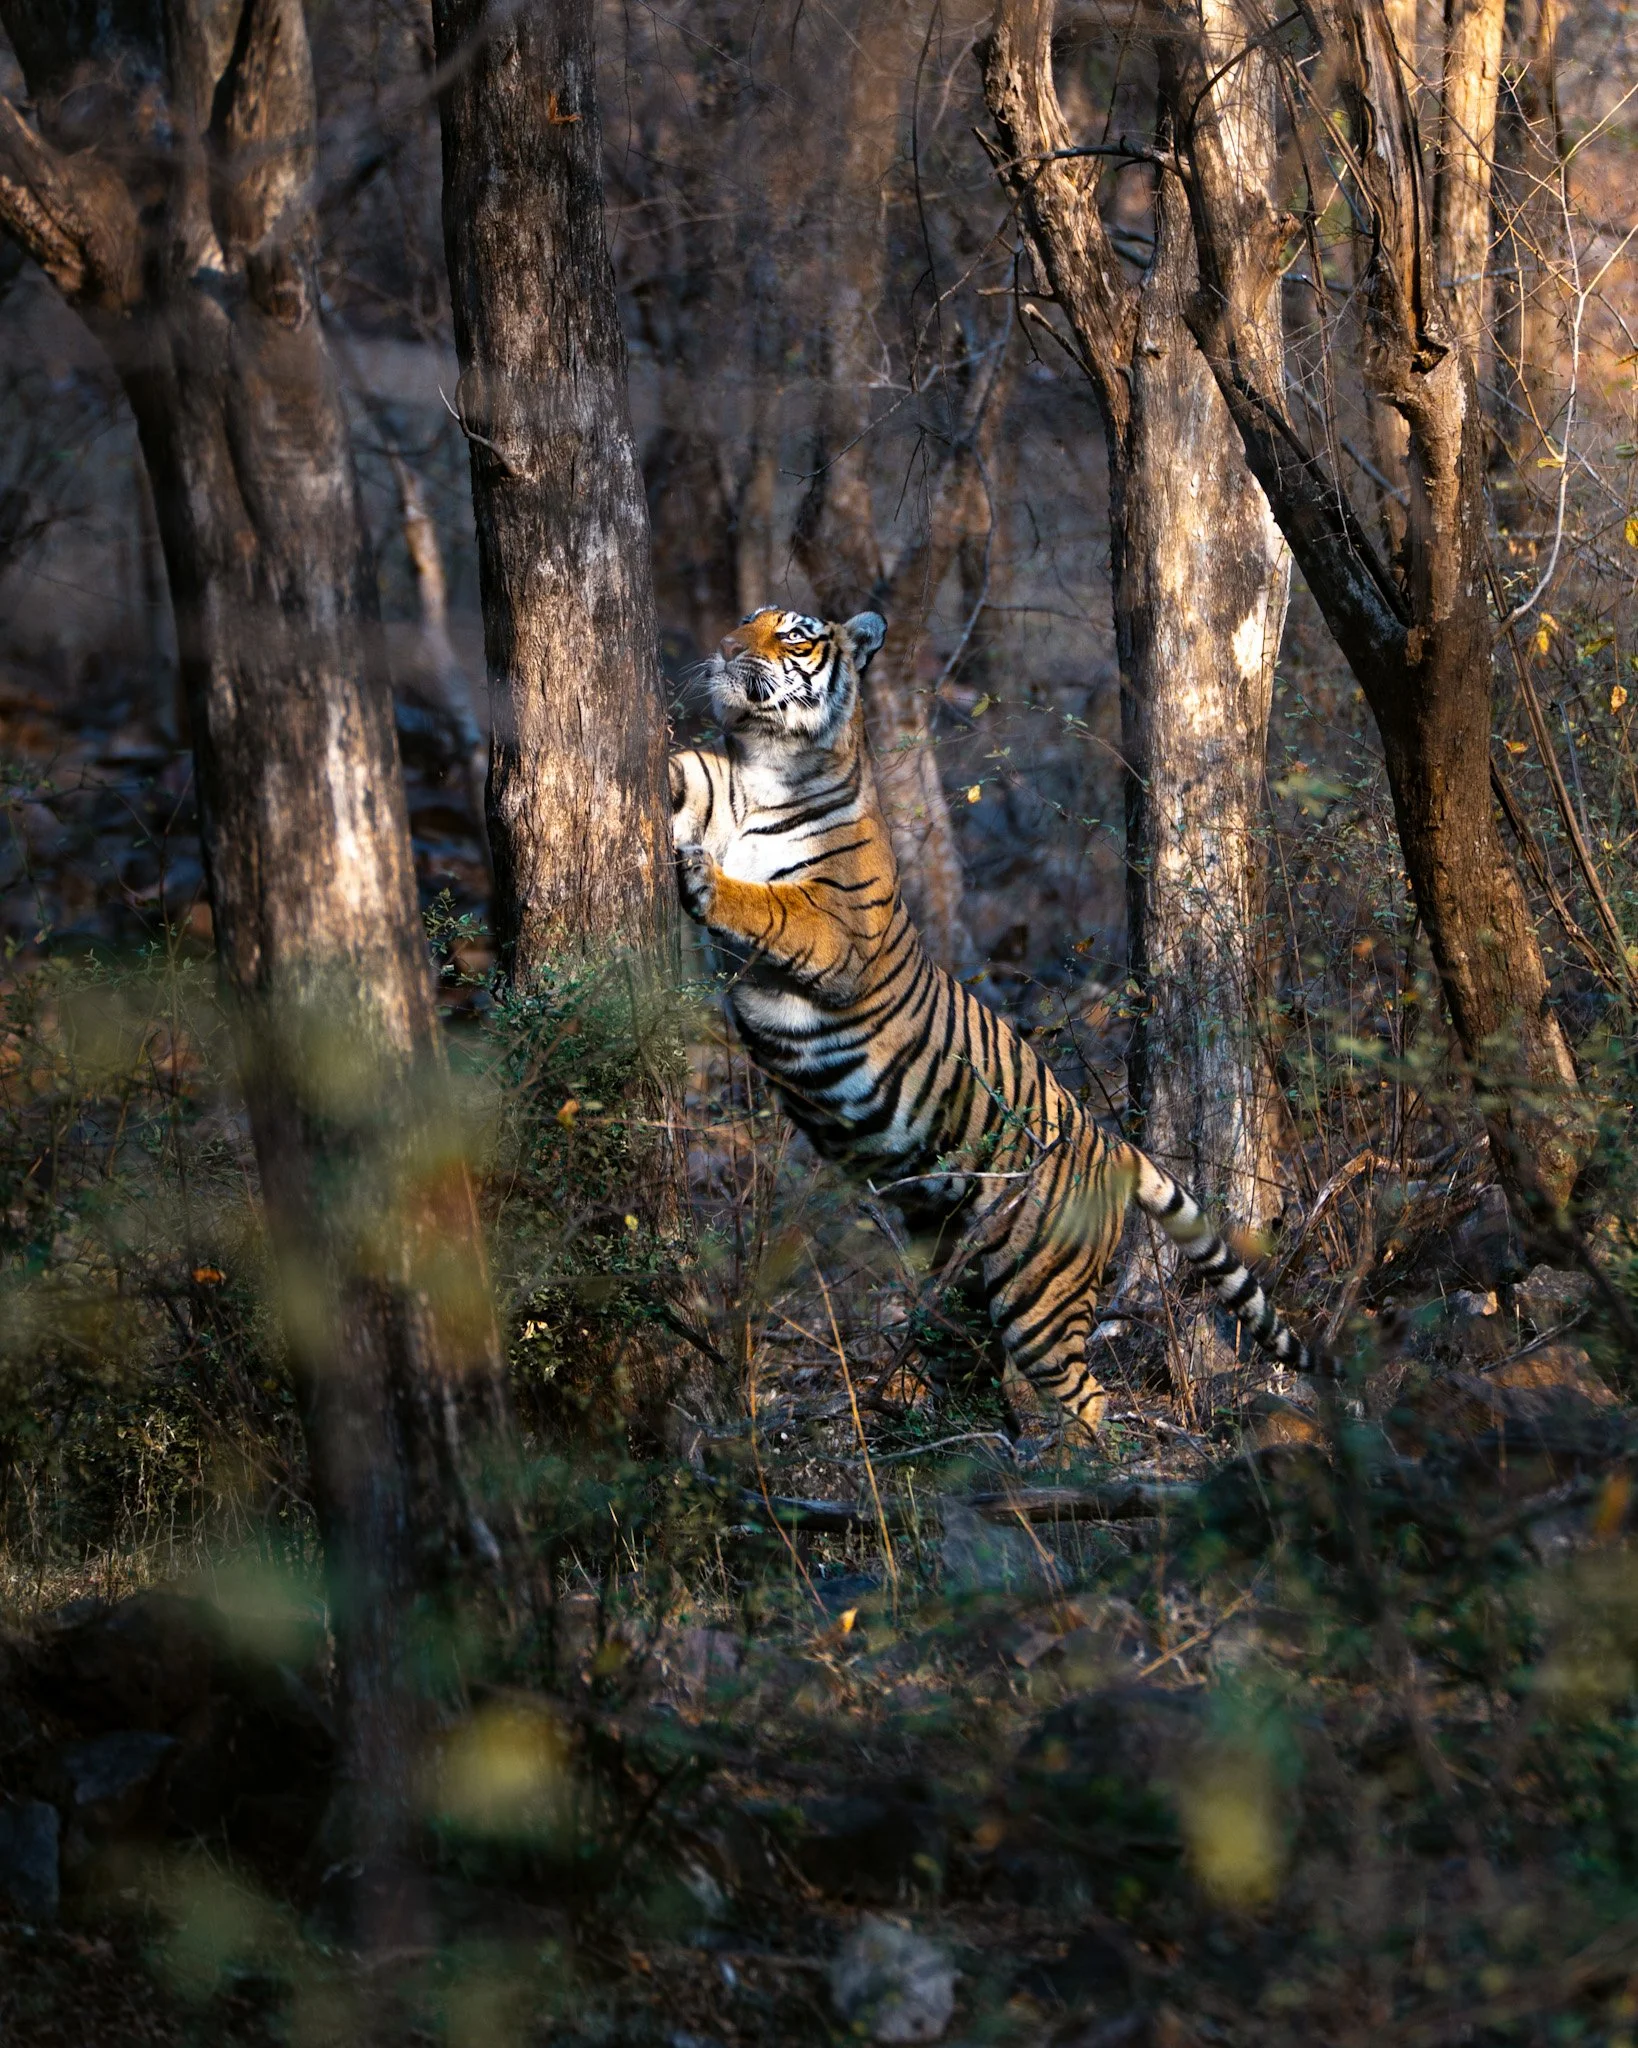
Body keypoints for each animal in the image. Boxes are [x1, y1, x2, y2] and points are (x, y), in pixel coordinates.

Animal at [670, 603, 1320, 1439]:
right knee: (974, 1363)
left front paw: (705, 883)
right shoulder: (718, 789)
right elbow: (690, 773)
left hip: (1036, 1293)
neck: (763, 764)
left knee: (1086, 1399)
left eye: (792, 635)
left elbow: (770, 905)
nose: (723, 649)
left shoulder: (839, 930)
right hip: (960, 1266)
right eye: (747, 620)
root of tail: (1113, 1143)